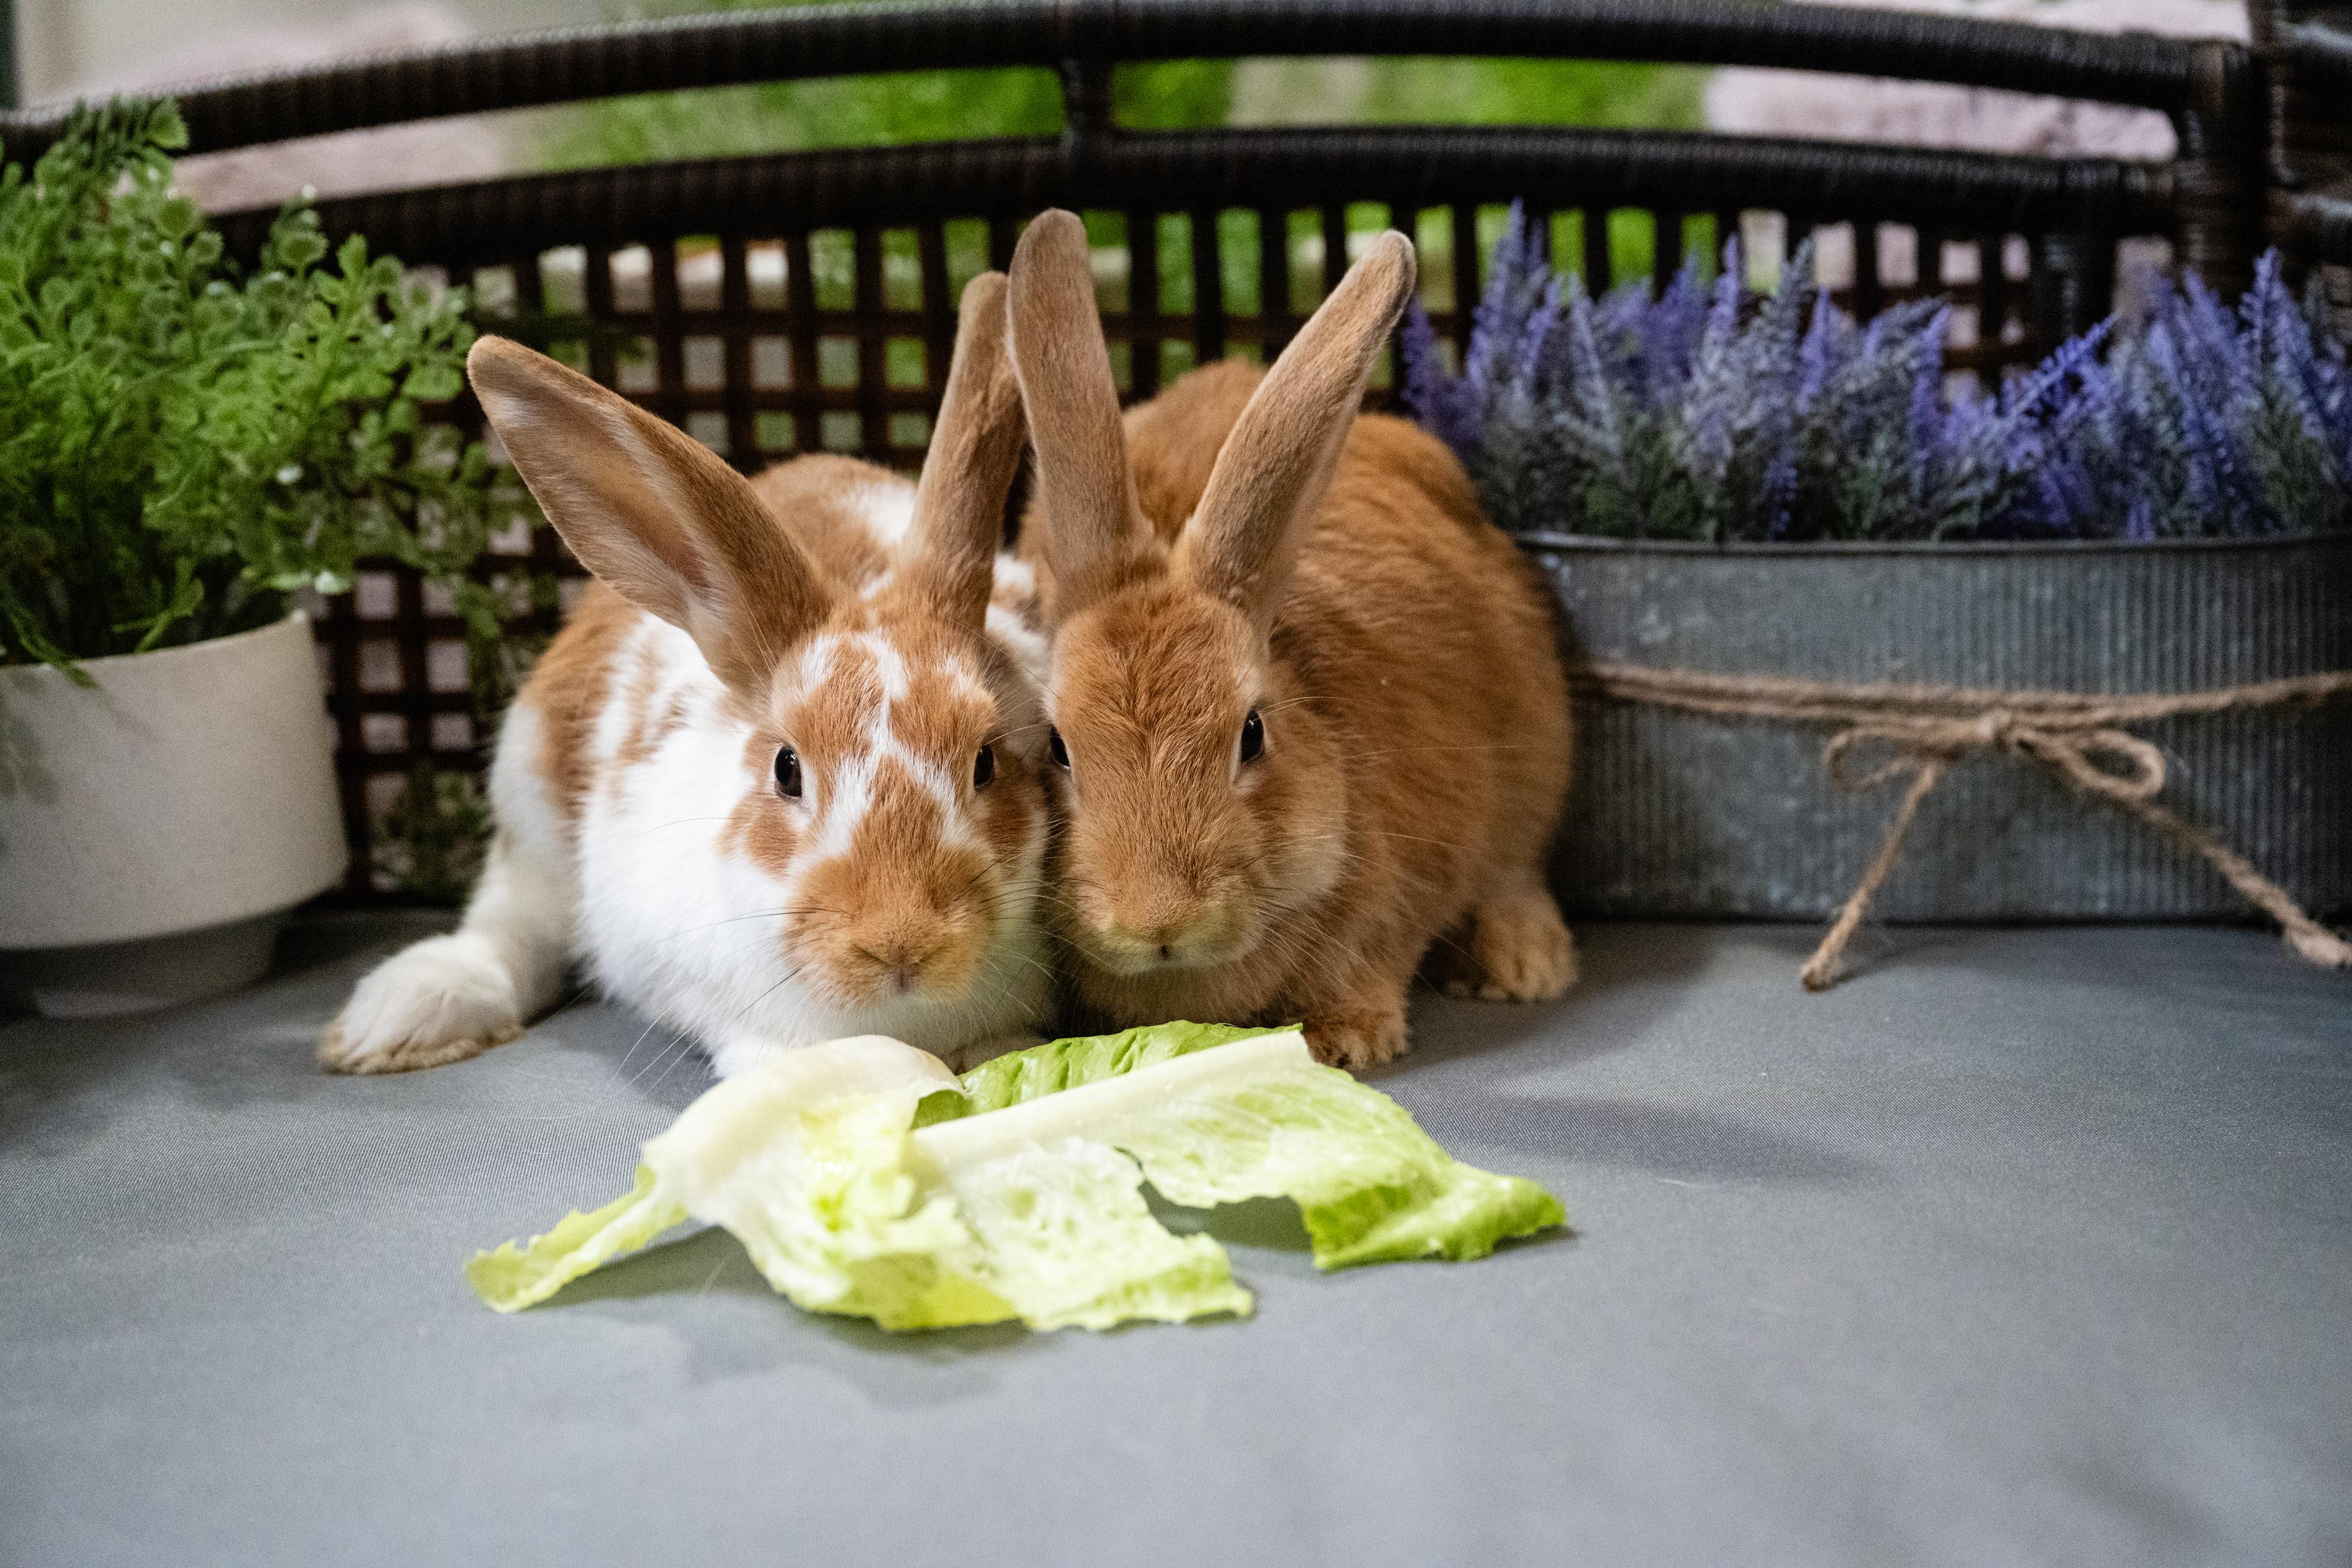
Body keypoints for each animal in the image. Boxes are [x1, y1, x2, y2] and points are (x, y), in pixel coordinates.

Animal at [318, 272, 1054, 1080]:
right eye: (787, 768)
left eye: (985, 761)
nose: (901, 943)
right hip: (530, 804)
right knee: (510, 923)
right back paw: (401, 1017)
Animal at [1004, 210, 1576, 1071]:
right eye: (1058, 748)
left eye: (1252, 733)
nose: (1159, 921)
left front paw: (1349, 1040)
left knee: (1515, 870)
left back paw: (1525, 967)